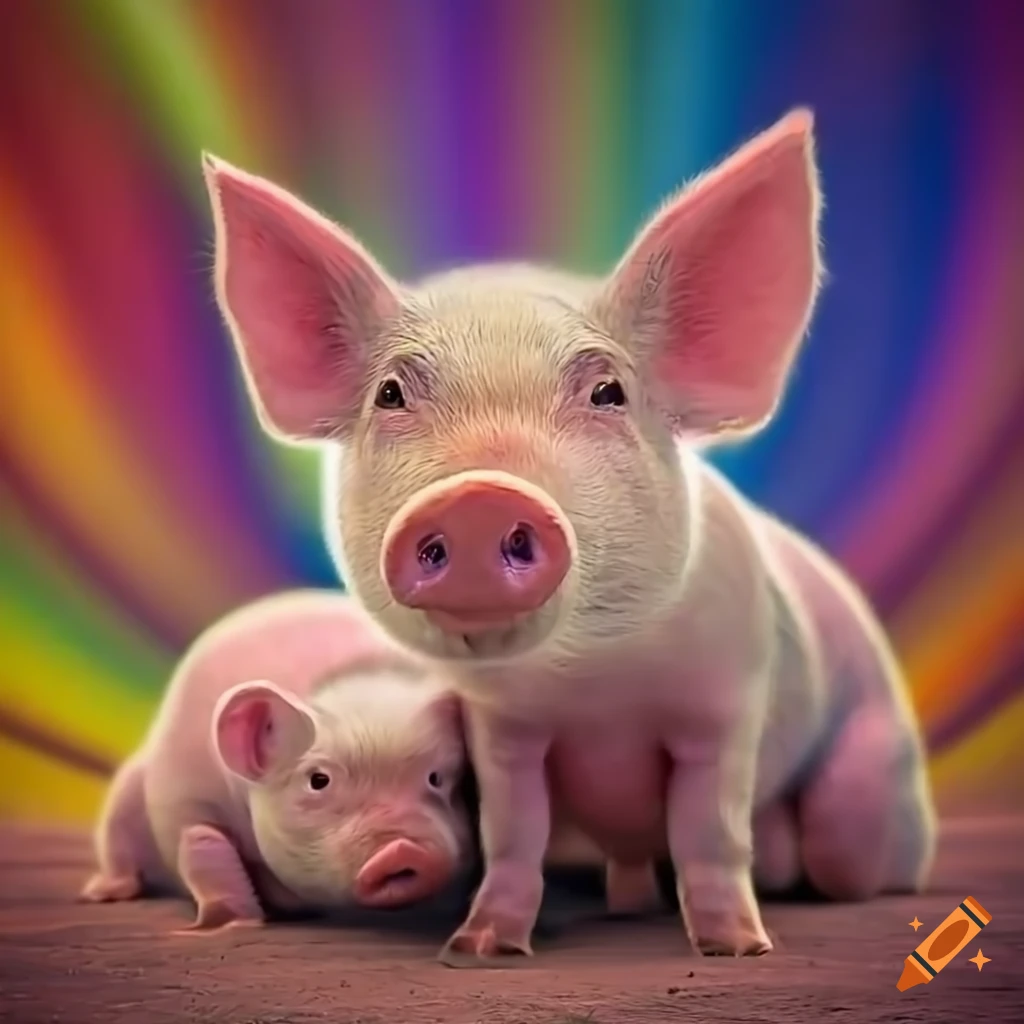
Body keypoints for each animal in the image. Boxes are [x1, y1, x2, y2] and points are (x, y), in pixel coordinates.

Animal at [79, 590, 475, 932]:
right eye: (318, 780)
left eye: (436, 778)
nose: (404, 848)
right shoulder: (177, 797)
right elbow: (200, 844)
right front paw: (236, 924)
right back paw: (102, 894)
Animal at [201, 107, 936, 961]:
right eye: (390, 394)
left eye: (608, 391)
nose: (479, 496)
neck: (592, 685)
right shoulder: (502, 729)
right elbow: (515, 833)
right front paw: (479, 949)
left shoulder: (726, 701)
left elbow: (710, 831)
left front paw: (737, 950)